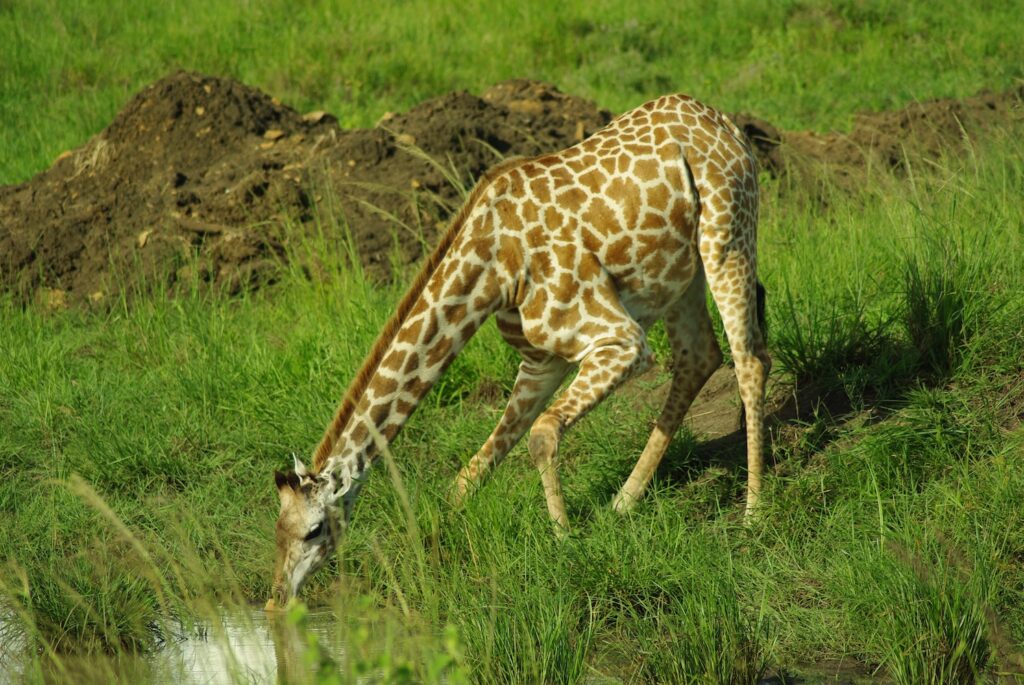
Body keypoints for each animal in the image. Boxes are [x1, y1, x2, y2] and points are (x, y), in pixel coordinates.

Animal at [266, 93, 770, 608]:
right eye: (277, 529)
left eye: (313, 529)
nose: (275, 598)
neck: (492, 269)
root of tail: (722, 120)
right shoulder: (542, 359)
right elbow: (473, 472)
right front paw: (429, 552)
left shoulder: (621, 340)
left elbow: (542, 434)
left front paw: (566, 542)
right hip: (680, 273)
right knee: (699, 356)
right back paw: (625, 501)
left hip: (727, 236)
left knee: (749, 361)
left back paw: (754, 513)